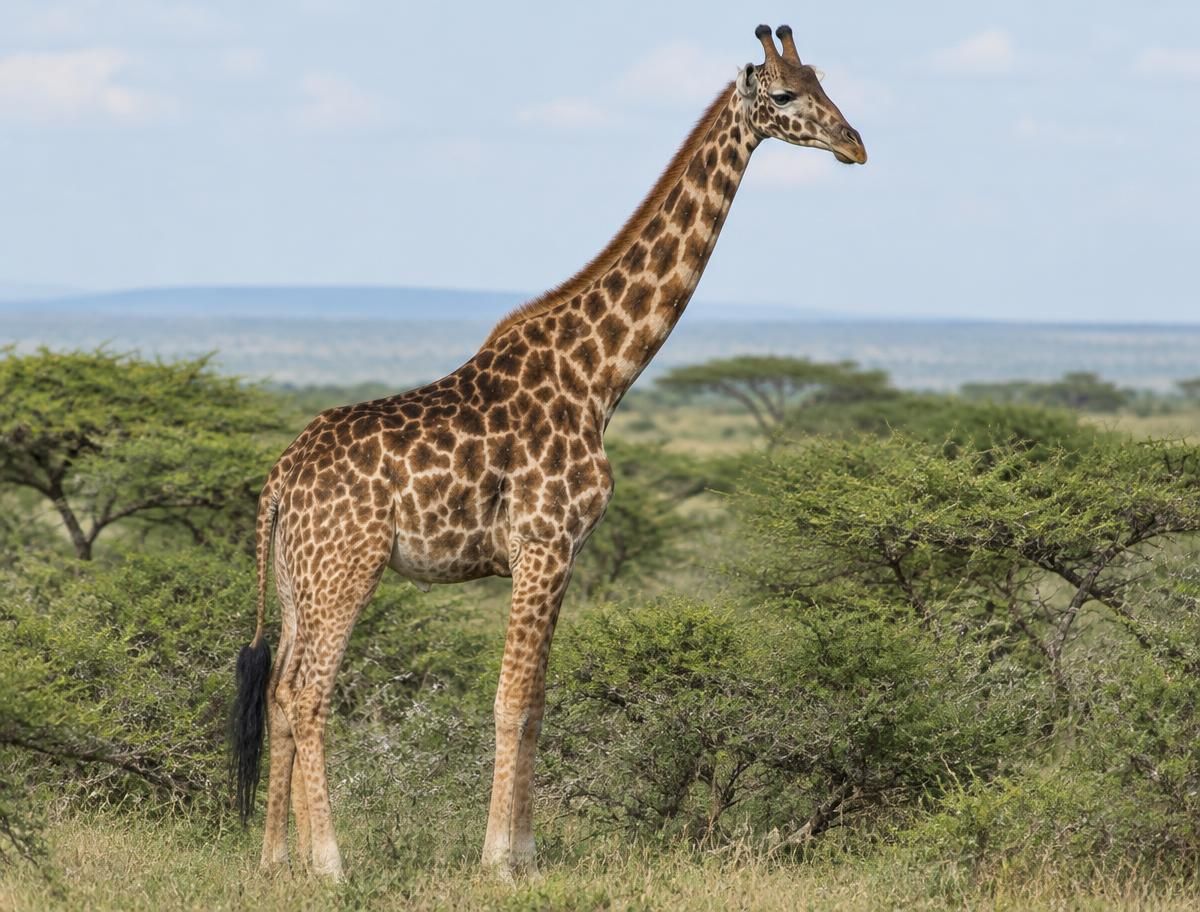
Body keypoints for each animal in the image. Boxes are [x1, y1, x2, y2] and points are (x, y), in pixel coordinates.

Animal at [229, 23, 866, 881]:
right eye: (790, 94)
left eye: (826, 83)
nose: (855, 143)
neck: (600, 375)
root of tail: (280, 476)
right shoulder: (543, 542)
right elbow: (511, 701)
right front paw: (498, 860)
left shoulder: (563, 552)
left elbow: (536, 704)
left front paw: (524, 852)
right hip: (346, 568)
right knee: (308, 694)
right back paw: (329, 862)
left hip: (300, 577)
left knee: (278, 693)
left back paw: (275, 859)